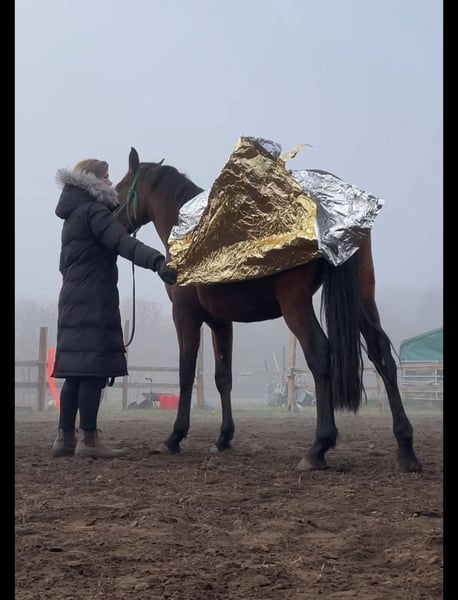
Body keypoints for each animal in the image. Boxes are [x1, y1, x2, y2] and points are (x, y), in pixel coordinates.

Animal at [115, 146, 421, 473]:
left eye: (118, 190)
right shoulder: (221, 322)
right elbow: (223, 377)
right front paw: (223, 438)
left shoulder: (185, 317)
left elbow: (186, 374)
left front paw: (174, 437)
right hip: (362, 299)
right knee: (381, 355)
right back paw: (405, 448)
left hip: (295, 304)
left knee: (320, 354)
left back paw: (319, 447)